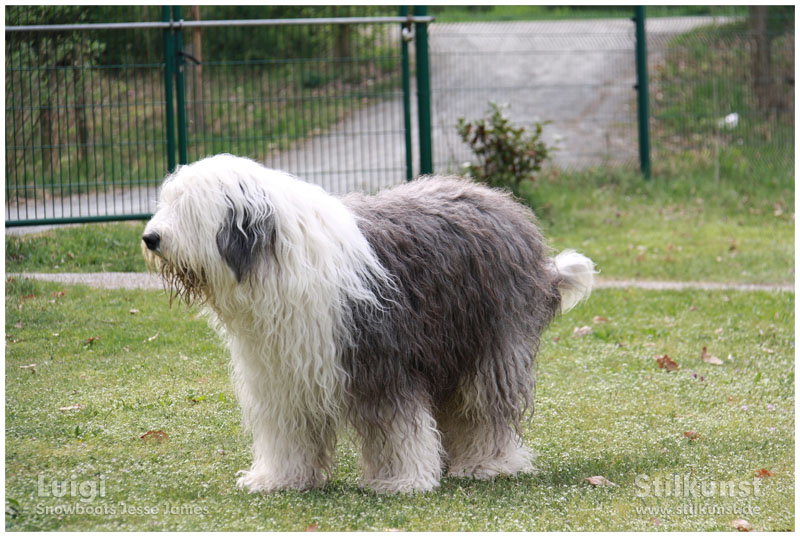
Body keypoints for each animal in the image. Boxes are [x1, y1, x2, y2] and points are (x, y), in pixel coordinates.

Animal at [142, 153, 592, 492]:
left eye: (189, 208)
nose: (150, 238)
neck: (273, 257)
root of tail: (505, 205)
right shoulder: (282, 372)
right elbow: (288, 429)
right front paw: (279, 479)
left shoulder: (380, 360)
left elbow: (396, 428)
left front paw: (402, 481)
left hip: (489, 343)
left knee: (482, 409)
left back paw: (488, 463)